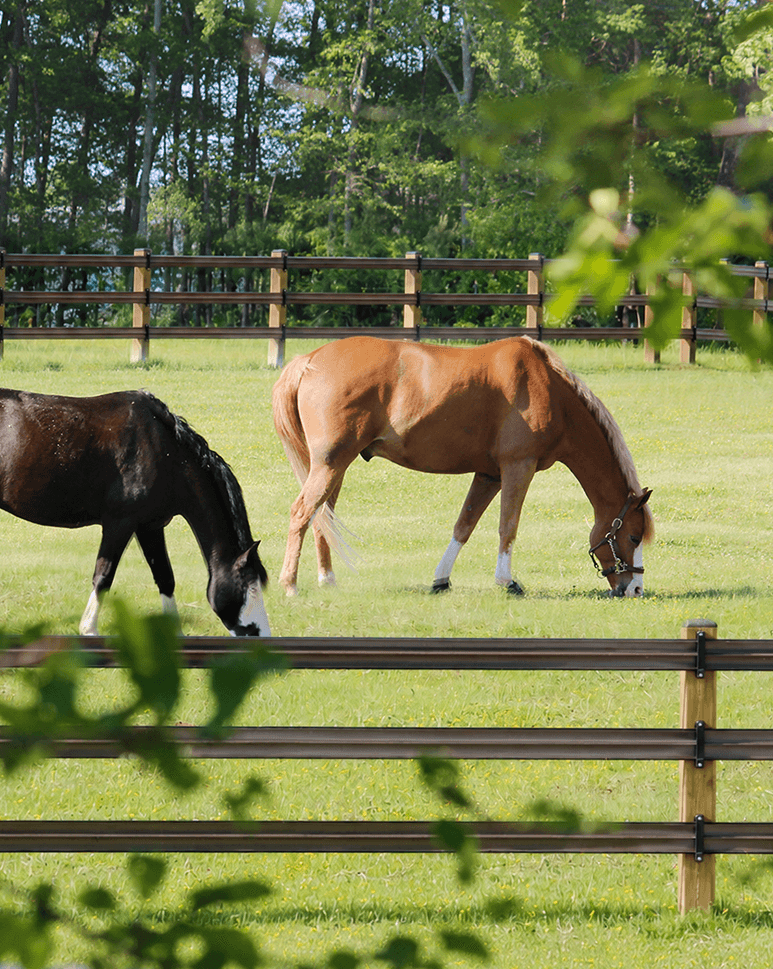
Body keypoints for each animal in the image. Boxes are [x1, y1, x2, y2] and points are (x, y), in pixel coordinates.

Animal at [0, 388, 270, 636]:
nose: (264, 636)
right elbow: (103, 576)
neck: (164, 451)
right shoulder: (120, 524)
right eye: (251, 587)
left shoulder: (150, 526)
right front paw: (89, 629)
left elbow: (165, 577)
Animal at [272, 336, 653, 598]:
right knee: (302, 512)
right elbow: (507, 527)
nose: (635, 588)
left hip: (333, 467)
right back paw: (289, 585)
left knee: (322, 516)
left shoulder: (489, 475)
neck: (550, 390)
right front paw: (506, 581)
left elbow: (463, 526)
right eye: (634, 536)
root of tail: (309, 359)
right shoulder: (518, 467)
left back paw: (327, 579)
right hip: (331, 464)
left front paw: (441, 579)